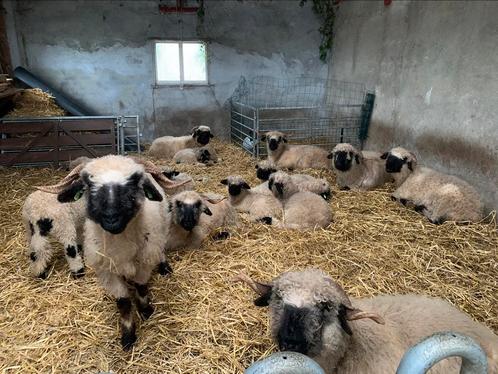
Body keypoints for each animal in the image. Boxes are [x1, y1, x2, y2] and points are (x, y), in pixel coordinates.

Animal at [37, 155, 188, 350]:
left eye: (134, 182)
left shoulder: (143, 264)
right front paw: (128, 336)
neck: (120, 247)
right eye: (88, 185)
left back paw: (164, 266)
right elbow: (123, 303)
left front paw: (146, 311)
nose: (111, 218)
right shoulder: (107, 272)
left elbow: (141, 288)